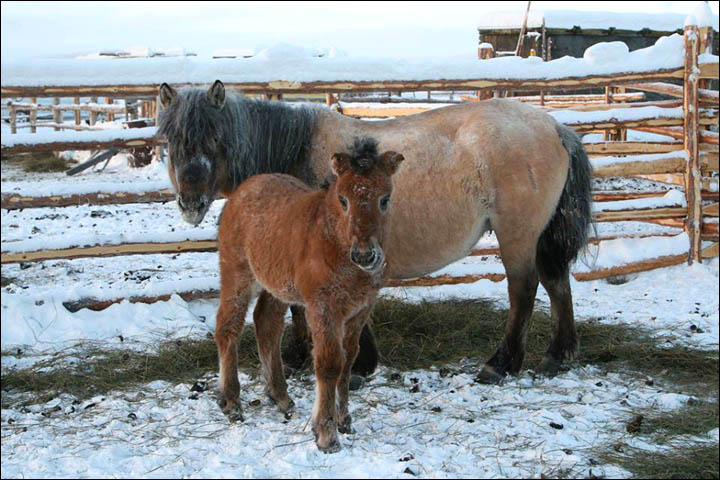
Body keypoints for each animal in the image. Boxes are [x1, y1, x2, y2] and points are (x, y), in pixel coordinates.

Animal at [158, 80, 592, 384]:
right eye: (170, 140)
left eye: (215, 137)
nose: (190, 202)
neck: (296, 155)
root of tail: (554, 126)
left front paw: (354, 365)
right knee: (556, 281)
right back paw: (557, 355)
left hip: (517, 234)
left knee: (524, 289)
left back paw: (500, 364)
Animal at [214, 137, 404, 452]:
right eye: (343, 199)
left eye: (385, 199)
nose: (365, 255)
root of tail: (243, 189)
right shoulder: (323, 307)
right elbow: (329, 364)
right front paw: (326, 434)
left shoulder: (360, 309)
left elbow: (348, 360)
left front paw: (344, 420)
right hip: (237, 273)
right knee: (228, 327)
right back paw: (231, 402)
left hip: (277, 284)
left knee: (266, 324)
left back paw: (280, 396)